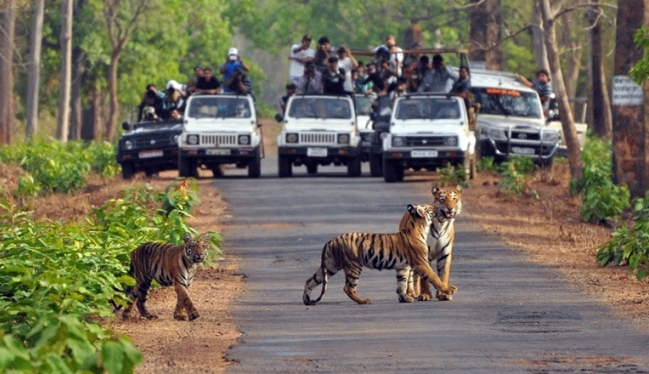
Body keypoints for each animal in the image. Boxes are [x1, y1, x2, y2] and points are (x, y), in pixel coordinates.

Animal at [302, 203, 456, 306]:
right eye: (429, 208)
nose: (437, 208)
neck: (419, 228)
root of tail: (331, 240)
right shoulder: (421, 263)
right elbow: (434, 277)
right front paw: (448, 290)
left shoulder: (403, 267)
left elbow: (401, 284)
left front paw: (405, 298)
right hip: (353, 266)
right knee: (348, 288)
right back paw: (363, 301)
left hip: (330, 266)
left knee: (310, 280)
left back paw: (307, 300)